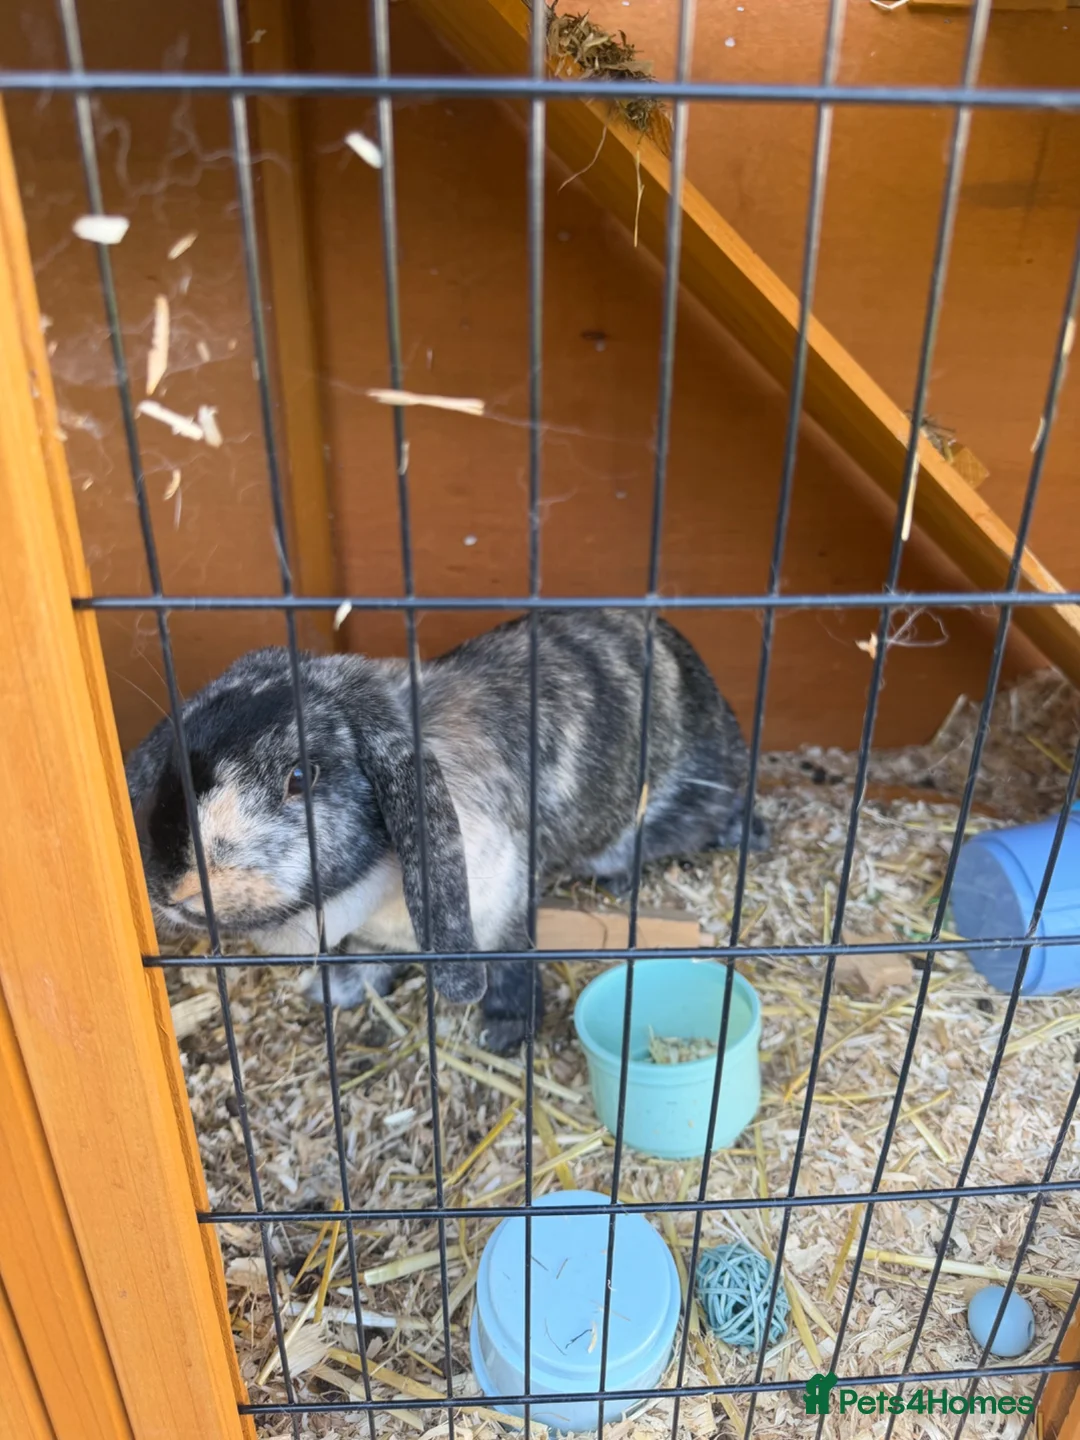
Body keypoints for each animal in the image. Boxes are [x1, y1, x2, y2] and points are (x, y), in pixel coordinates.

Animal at [125, 609, 767, 1052]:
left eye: (300, 777)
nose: (175, 887)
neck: (377, 886)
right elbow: (369, 959)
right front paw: (338, 991)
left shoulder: (504, 905)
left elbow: (510, 964)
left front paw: (505, 1034)